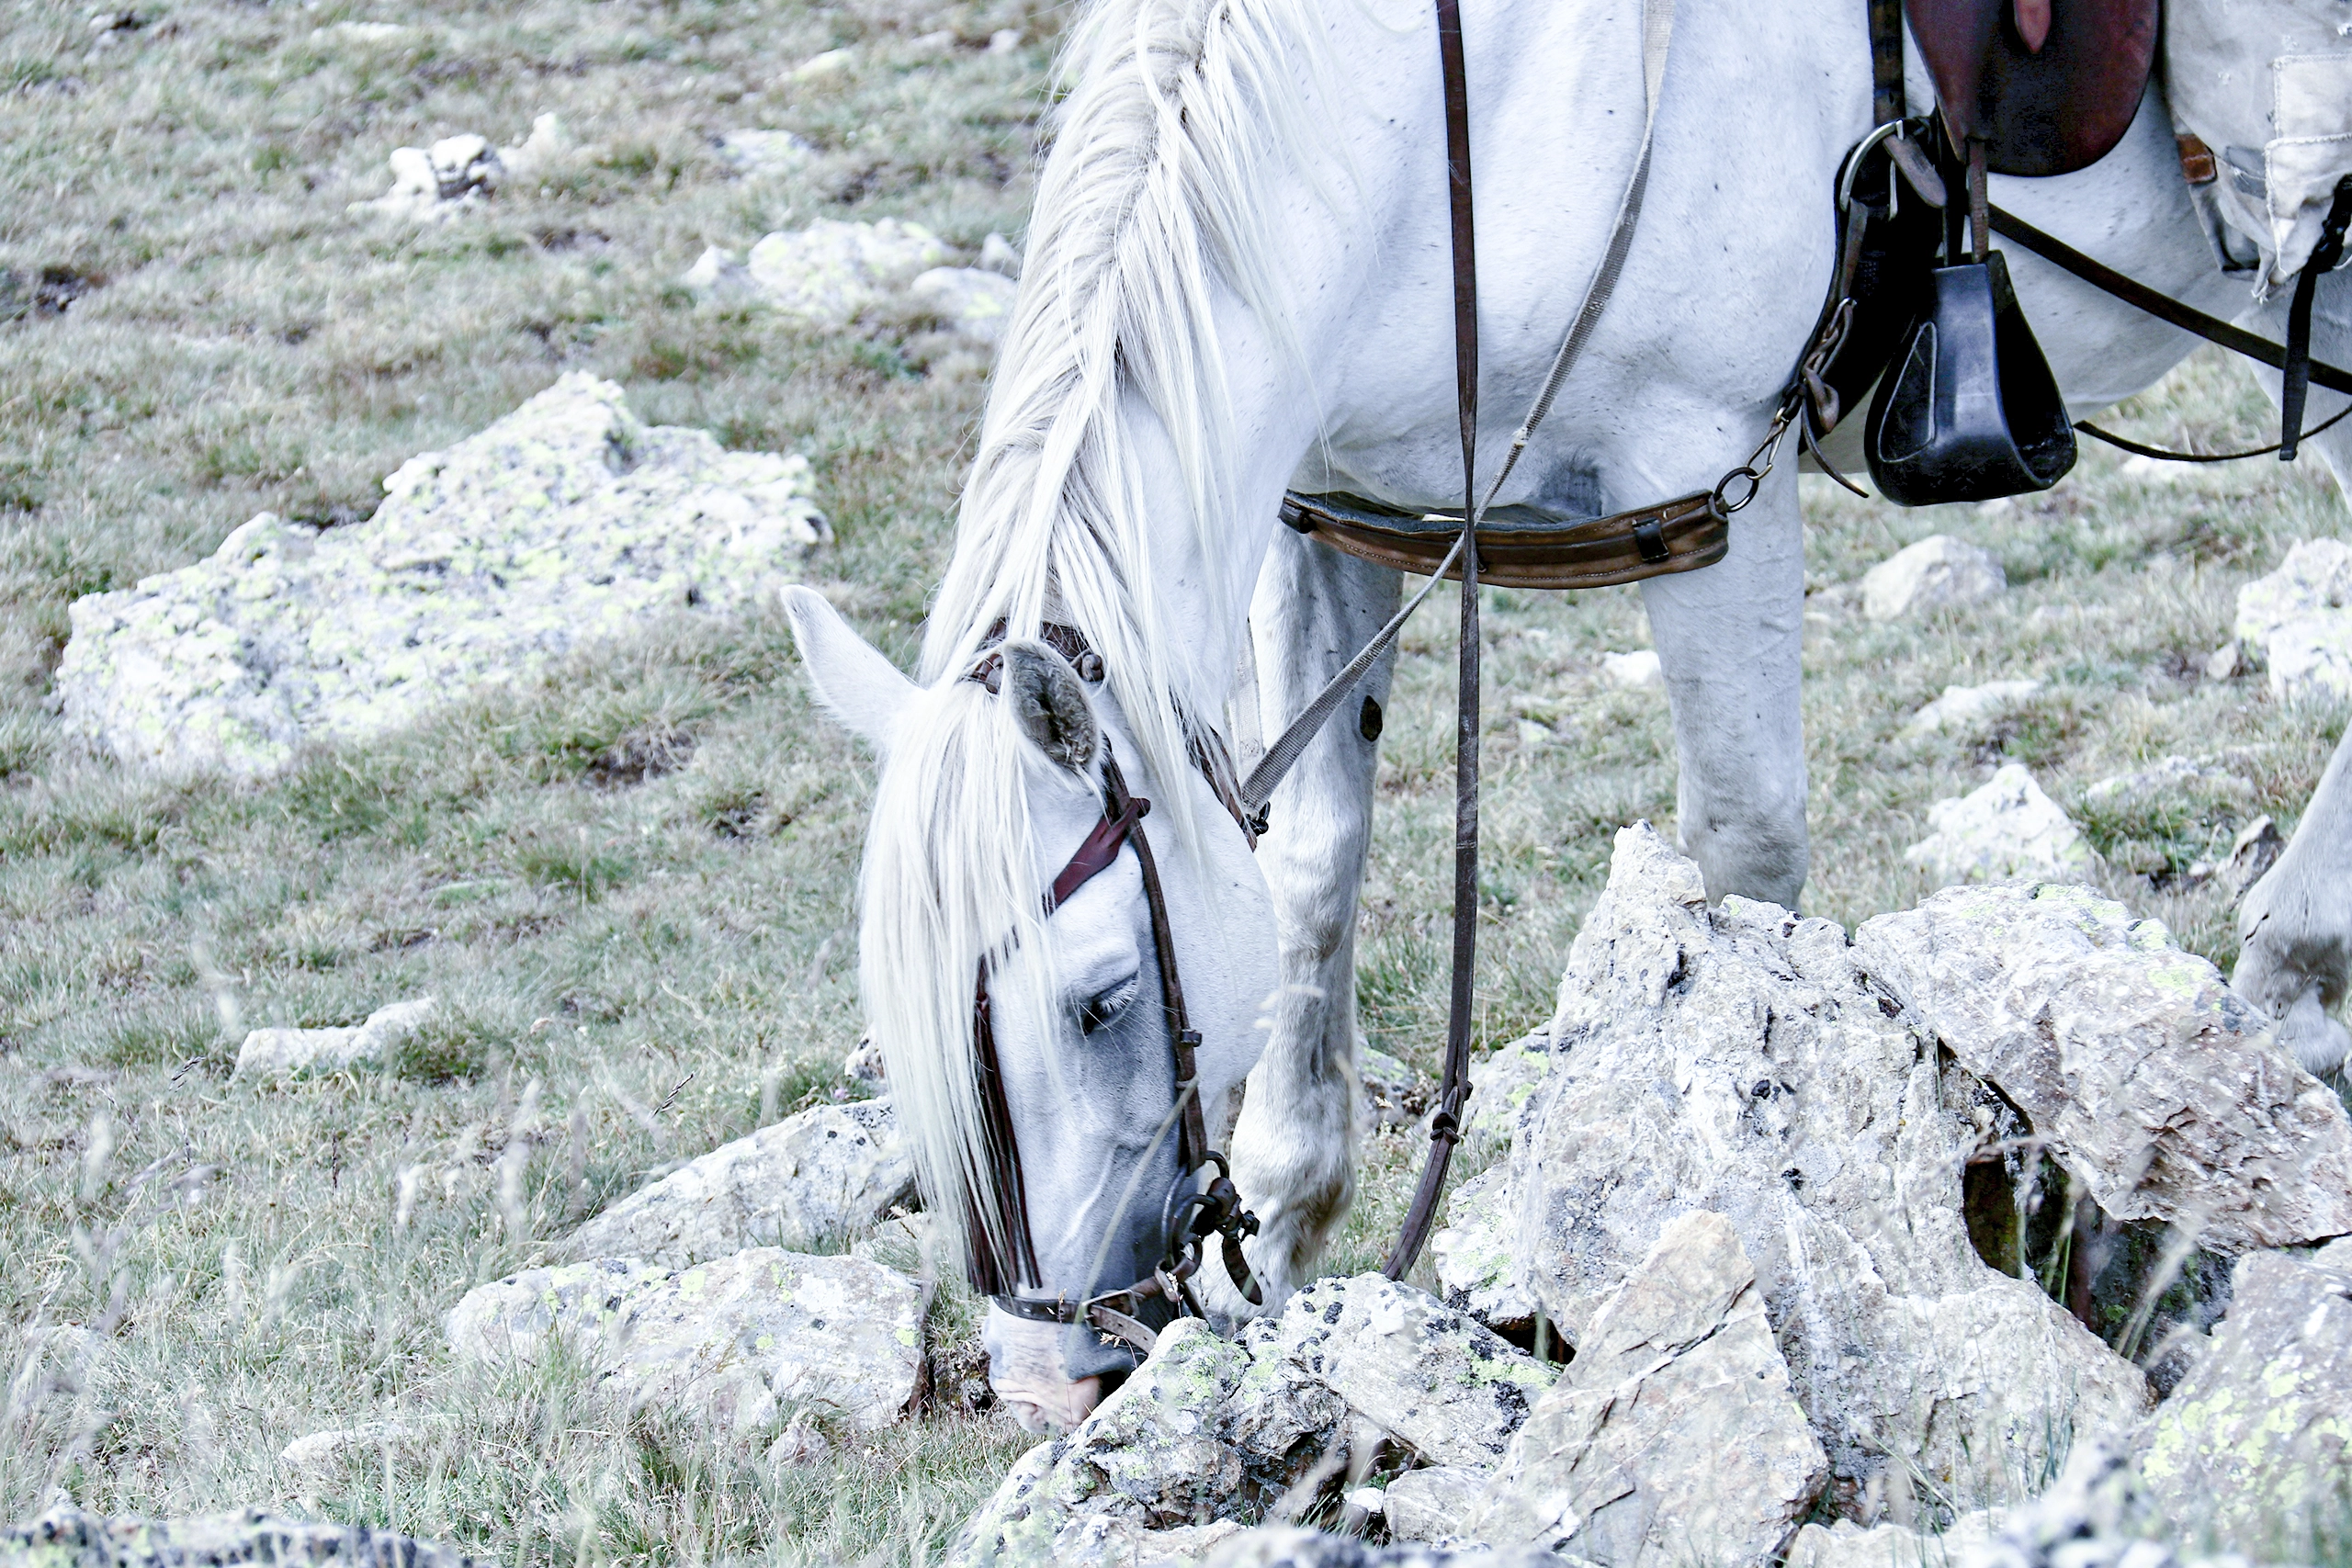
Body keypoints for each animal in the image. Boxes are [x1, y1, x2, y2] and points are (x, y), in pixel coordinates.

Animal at [782, 0, 2352, 1431]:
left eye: (1100, 998)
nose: (1053, 1377)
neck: (1460, 118)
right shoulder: (1326, 509)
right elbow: (1311, 865)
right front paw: (1285, 1235)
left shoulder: (1702, 485)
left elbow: (1743, 856)